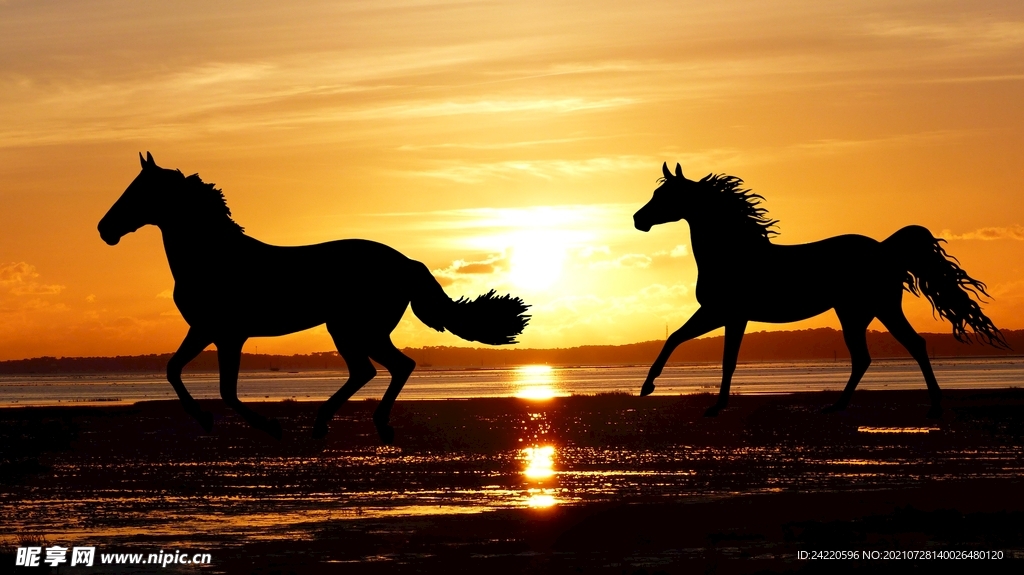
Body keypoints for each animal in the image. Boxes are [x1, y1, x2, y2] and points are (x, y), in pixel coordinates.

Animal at [98, 153, 529, 443]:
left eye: (138, 192)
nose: (105, 229)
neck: (214, 257)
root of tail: (405, 262)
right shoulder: (205, 331)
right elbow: (173, 370)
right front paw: (204, 419)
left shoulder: (228, 335)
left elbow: (226, 390)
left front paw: (268, 426)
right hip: (358, 329)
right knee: (381, 369)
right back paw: (345, 423)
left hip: (354, 328)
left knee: (383, 368)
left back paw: (348, 423)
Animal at [634, 162, 1006, 418]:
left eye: (665, 195)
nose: (639, 219)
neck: (734, 253)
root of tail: (885, 249)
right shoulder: (718, 313)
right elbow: (676, 338)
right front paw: (648, 387)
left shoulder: (730, 315)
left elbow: (725, 359)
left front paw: (710, 405)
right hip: (866, 312)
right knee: (884, 352)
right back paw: (846, 405)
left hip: (869, 310)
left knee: (895, 349)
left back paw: (921, 405)